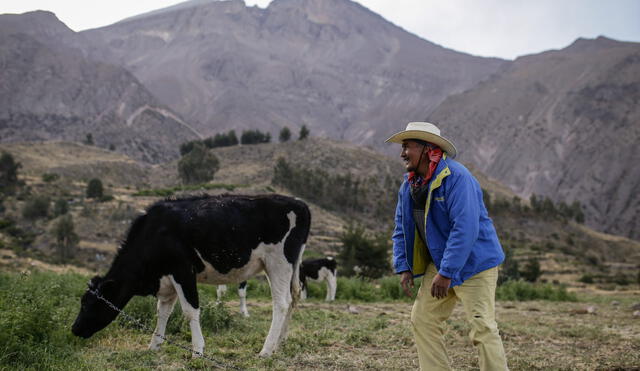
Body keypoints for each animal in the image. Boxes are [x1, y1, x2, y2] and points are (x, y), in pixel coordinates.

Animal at [71, 195, 312, 358]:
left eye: (87, 303)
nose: (74, 329)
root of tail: (299, 203)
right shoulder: (167, 279)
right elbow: (162, 312)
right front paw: (154, 345)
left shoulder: (183, 271)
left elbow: (190, 311)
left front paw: (197, 351)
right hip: (290, 267)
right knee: (293, 298)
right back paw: (280, 343)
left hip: (278, 262)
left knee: (281, 304)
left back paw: (266, 349)